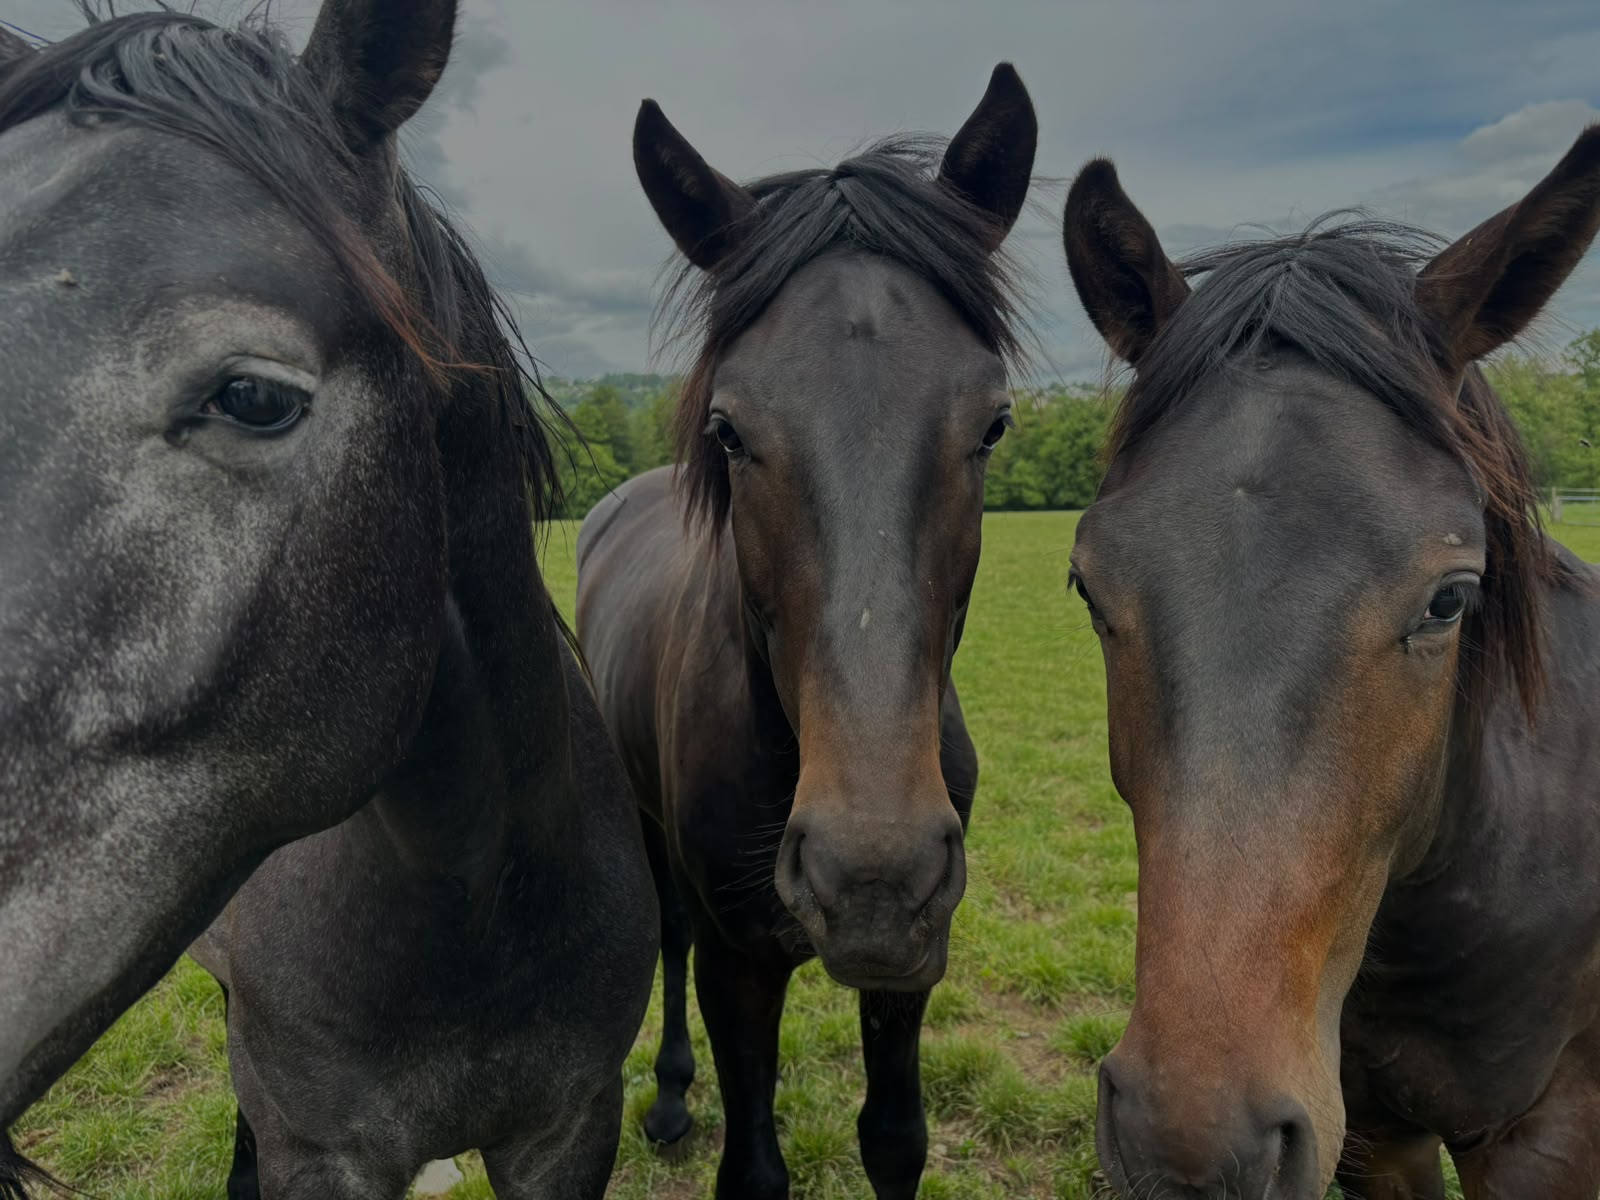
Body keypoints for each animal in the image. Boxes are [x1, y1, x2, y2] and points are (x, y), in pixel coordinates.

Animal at [574, 66, 1037, 1199]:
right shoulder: (741, 963)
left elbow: (895, 1139)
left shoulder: (917, 956)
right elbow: (752, 1165)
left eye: (994, 422)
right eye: (728, 429)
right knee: (668, 933)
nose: (870, 876)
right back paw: (669, 1095)